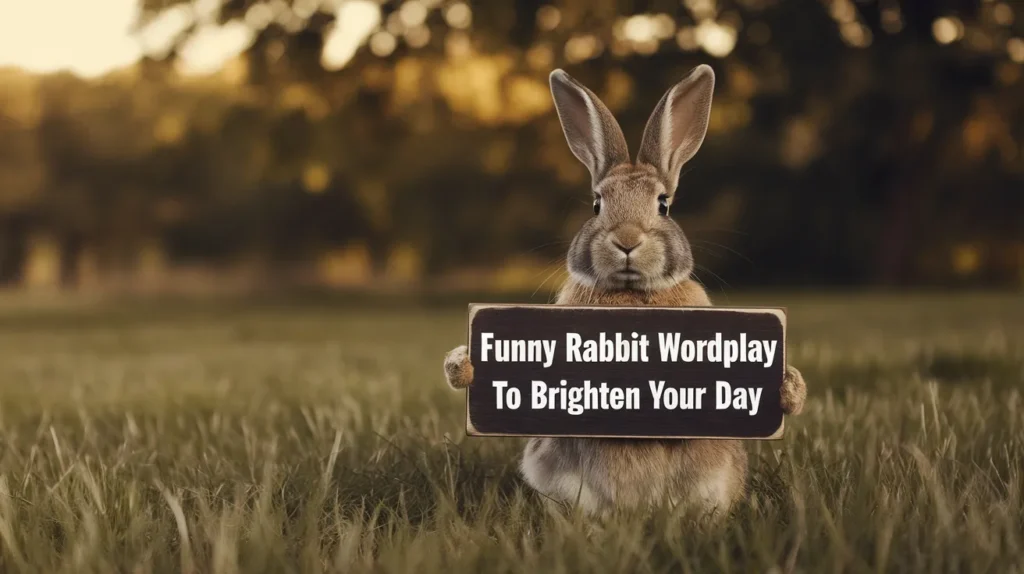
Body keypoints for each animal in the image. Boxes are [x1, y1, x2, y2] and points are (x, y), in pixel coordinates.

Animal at [443, 65, 808, 518]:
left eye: (664, 204)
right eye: (597, 204)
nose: (628, 240)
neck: (632, 293)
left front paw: (788, 388)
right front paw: (463, 365)